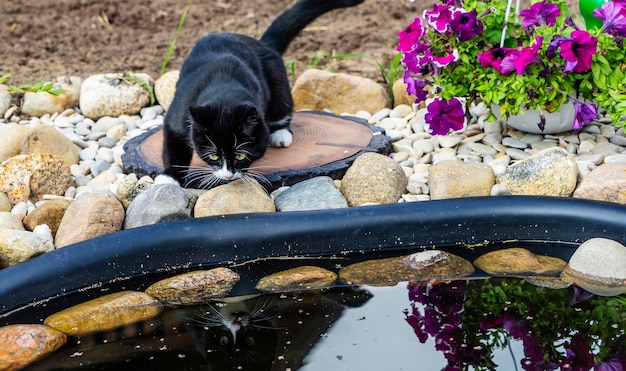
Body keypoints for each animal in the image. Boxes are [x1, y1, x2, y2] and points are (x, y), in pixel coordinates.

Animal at [158, 0, 364, 189]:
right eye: (214, 155)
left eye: (240, 155)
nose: (228, 175)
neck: (223, 89)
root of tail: (261, 43)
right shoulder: (178, 113)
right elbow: (173, 145)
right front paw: (168, 178)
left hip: (278, 81)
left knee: (283, 107)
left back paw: (281, 135)